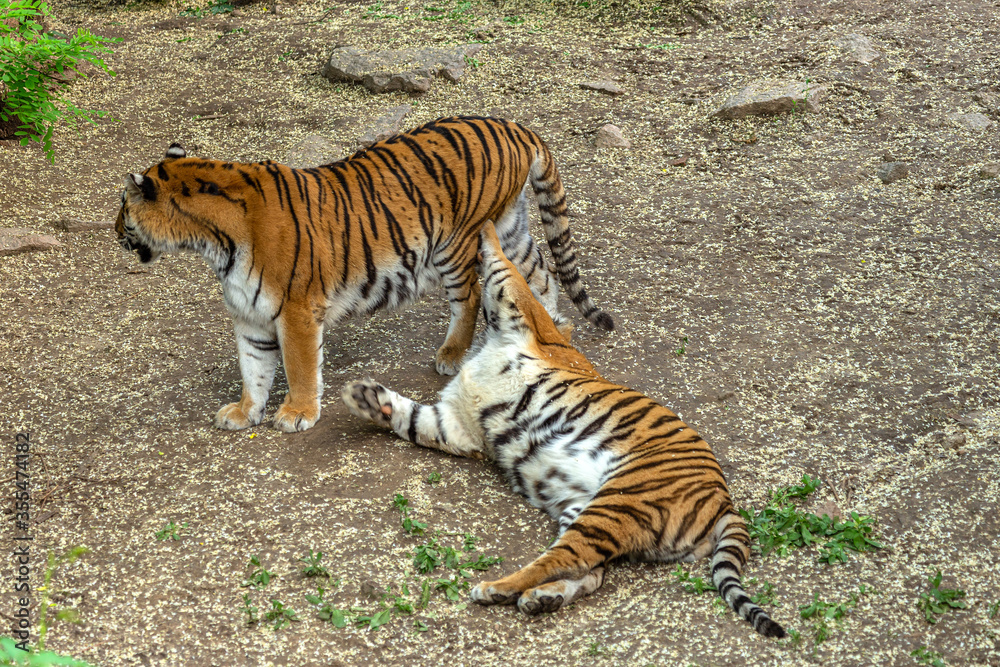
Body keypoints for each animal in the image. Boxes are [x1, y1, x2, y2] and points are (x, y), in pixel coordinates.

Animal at [113, 117, 612, 434]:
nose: (114, 230)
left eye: (122, 207)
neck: (211, 243)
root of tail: (513, 125)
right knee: (540, 274)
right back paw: (551, 332)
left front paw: (297, 413)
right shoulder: (250, 315)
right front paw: (244, 412)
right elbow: (252, 369)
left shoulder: (295, 309)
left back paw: (452, 354)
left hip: (456, 244)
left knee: (470, 297)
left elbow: (298, 366)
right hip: (508, 227)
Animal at [340, 222, 784, 640]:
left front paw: (486, 228)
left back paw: (498, 588)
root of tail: (724, 500)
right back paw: (542, 598)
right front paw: (363, 396)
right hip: (584, 507)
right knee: (591, 571)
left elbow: (502, 266)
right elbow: (412, 419)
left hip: (620, 501)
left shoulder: (522, 312)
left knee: (567, 559)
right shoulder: (455, 423)